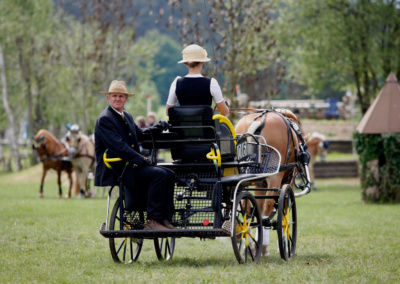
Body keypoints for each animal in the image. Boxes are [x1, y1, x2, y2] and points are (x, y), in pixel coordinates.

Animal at [236, 108, 304, 258]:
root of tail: (259, 119)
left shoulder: (260, 184)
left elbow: (257, 207)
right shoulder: (287, 184)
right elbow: (284, 212)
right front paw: (282, 246)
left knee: (247, 207)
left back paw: (249, 244)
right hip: (275, 178)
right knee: (268, 207)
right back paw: (264, 247)